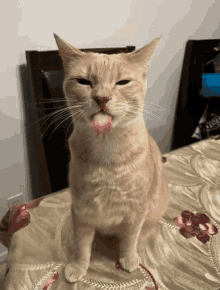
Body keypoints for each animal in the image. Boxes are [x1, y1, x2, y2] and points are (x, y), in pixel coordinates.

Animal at [54, 32, 169, 282]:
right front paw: (78, 266)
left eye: (122, 82)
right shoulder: (81, 210)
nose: (102, 98)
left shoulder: (136, 210)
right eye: (84, 82)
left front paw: (128, 258)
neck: (106, 156)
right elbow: (82, 245)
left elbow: (129, 239)